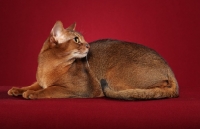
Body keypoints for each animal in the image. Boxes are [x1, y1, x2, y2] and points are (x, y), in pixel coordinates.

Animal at [8, 20, 178, 100]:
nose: (88, 45)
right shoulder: (40, 81)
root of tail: (169, 68)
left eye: (83, 39)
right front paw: (18, 89)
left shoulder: (78, 88)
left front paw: (31, 94)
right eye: (76, 40)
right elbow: (34, 85)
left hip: (114, 76)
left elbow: (50, 89)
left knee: (160, 89)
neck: (48, 66)